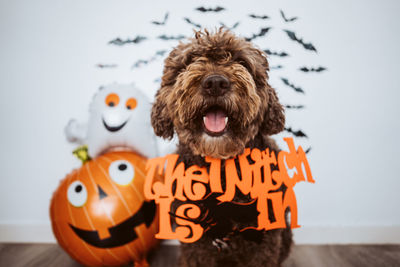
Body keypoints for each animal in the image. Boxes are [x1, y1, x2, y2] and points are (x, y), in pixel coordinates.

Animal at [152, 28, 292, 267]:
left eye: (241, 61)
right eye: (190, 60)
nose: (216, 83)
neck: (222, 171)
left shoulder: (264, 242)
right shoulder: (196, 245)